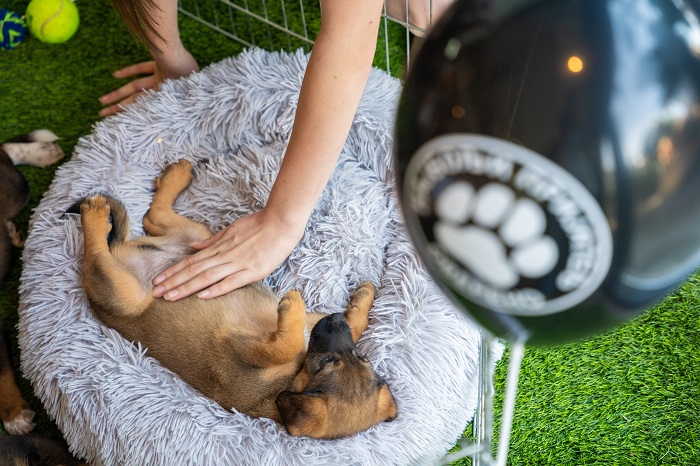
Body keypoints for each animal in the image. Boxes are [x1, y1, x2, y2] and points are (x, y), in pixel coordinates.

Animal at [75, 159, 397, 439]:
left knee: (96, 259)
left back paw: (94, 214)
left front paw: (296, 306)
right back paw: (174, 176)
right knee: (152, 217)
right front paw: (363, 298)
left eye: (327, 363)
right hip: (199, 238)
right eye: (363, 357)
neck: (291, 377)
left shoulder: (245, 346)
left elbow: (286, 345)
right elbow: (344, 328)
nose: (335, 318)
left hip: (124, 294)